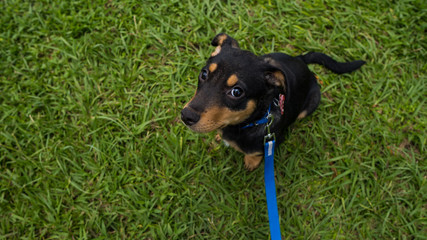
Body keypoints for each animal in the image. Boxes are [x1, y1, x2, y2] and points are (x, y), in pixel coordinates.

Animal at [182, 32, 366, 170]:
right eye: (204, 74)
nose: (186, 116)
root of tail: (301, 59)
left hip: (311, 103)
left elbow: (254, 154)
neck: (248, 123)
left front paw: (251, 163)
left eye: (237, 92)